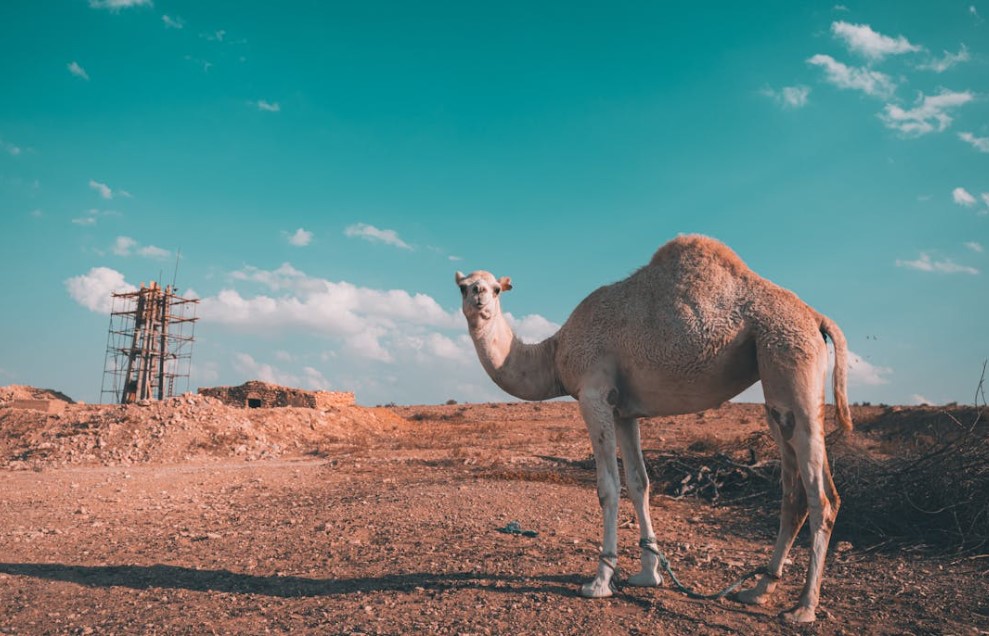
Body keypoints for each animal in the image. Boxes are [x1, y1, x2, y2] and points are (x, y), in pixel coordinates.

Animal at [456, 232, 848, 620]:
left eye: (496, 288)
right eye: (463, 286)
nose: (478, 295)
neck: (553, 354)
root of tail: (816, 316)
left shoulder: (594, 395)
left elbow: (608, 488)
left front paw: (600, 581)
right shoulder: (623, 411)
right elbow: (639, 483)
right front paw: (649, 574)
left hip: (789, 358)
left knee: (822, 498)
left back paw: (804, 607)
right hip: (776, 386)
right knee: (794, 493)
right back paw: (758, 590)